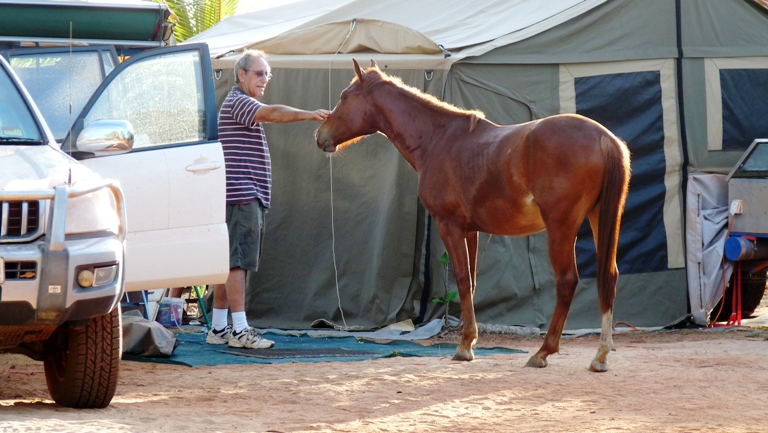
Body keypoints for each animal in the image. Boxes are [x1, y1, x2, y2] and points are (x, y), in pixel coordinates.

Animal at [314, 59, 632, 372]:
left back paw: (543, 352)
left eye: (345, 96)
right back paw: (601, 355)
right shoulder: (471, 230)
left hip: (561, 227)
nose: (320, 135)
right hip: (600, 218)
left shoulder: (449, 225)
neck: (438, 139)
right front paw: (470, 341)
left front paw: (464, 346)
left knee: (566, 281)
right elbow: (473, 281)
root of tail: (604, 137)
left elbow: (462, 280)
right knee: (609, 276)